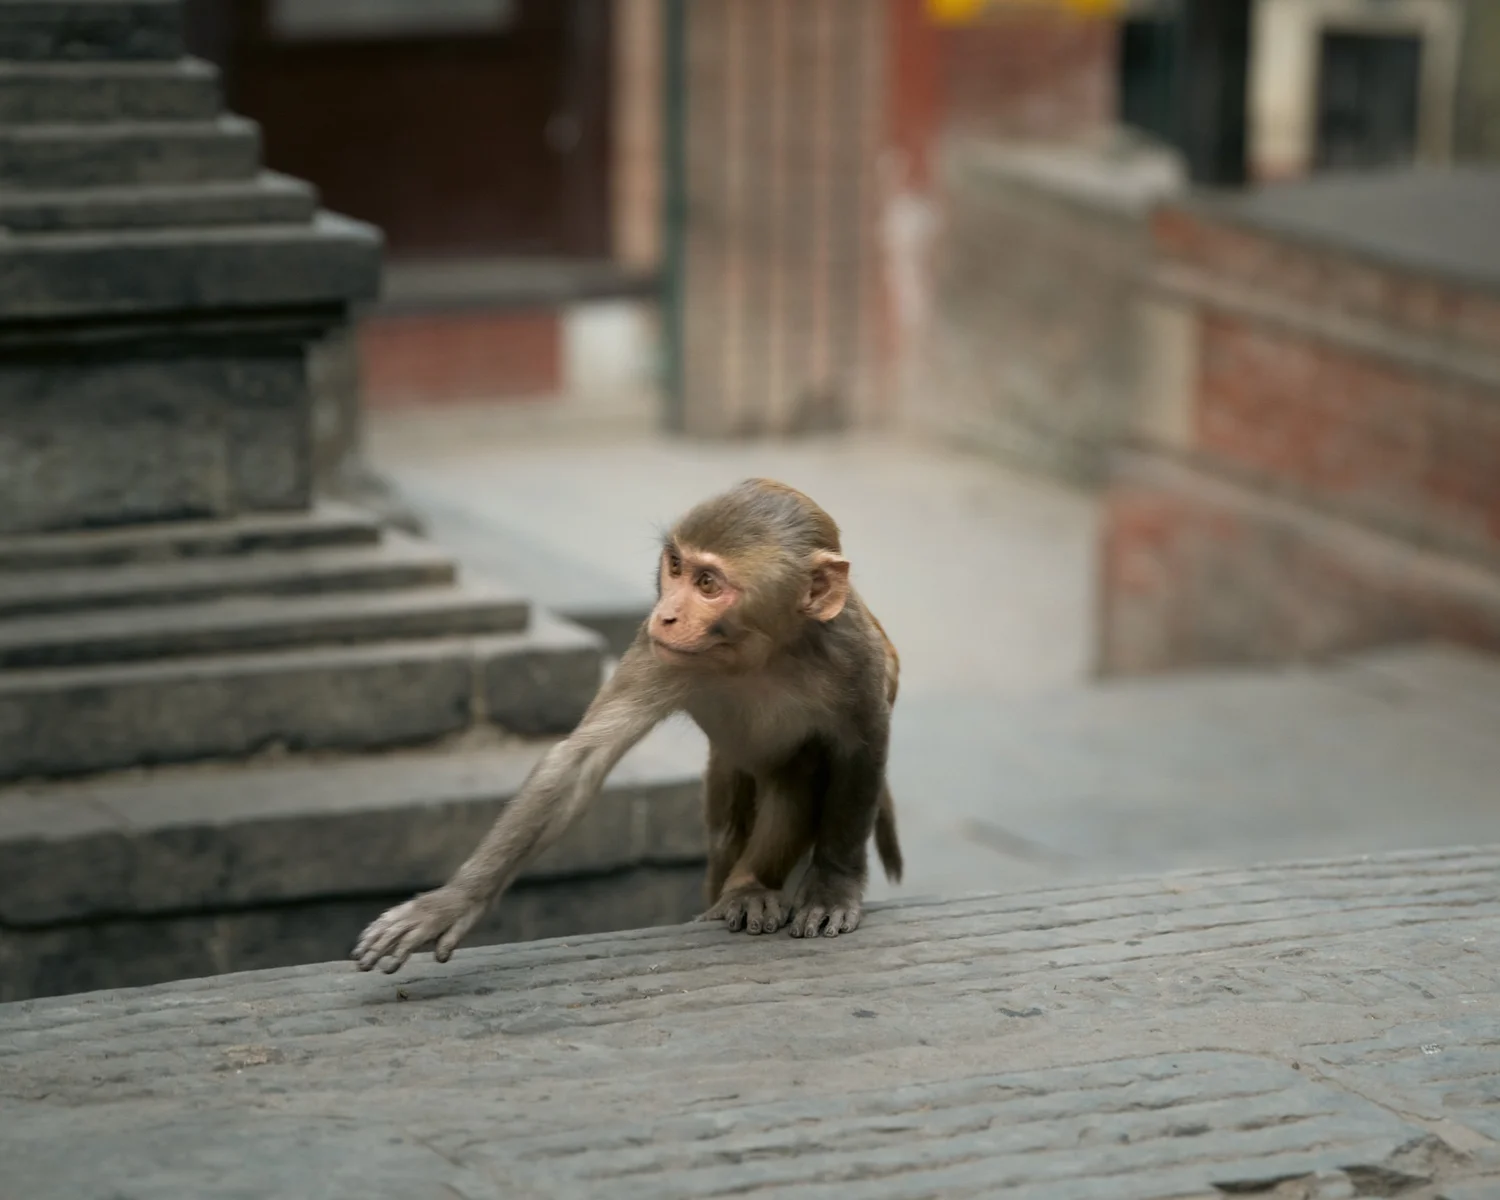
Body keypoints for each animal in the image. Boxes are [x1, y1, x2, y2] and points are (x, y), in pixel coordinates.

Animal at [353, 478, 903, 975]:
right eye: (676, 566)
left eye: (709, 584)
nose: (667, 615)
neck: (765, 654)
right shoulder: (656, 651)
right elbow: (578, 761)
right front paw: (454, 901)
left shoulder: (854, 657)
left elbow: (862, 747)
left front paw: (832, 885)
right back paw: (747, 889)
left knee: (802, 770)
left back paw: (751, 885)